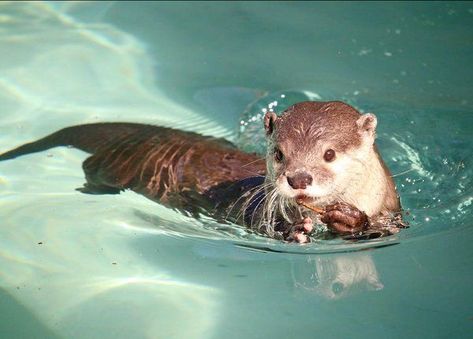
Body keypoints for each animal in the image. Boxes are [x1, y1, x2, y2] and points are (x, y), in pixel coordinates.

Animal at [0, 101, 400, 242]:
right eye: (279, 153)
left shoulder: (392, 214)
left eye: (329, 153)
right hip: (115, 165)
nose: (298, 178)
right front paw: (292, 230)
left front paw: (349, 219)